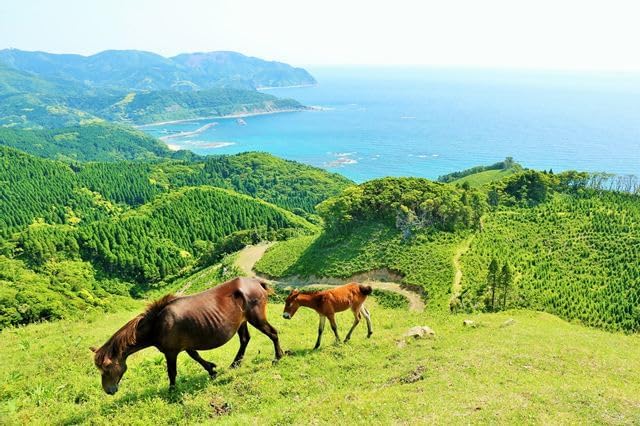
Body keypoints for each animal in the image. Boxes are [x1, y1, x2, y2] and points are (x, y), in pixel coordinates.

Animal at [91, 277, 283, 395]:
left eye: (106, 368)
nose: (108, 390)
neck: (158, 323)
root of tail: (256, 282)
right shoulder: (186, 345)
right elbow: (196, 356)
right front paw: (212, 370)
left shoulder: (170, 352)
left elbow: (172, 372)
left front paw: (172, 391)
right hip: (242, 321)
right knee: (244, 340)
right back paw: (235, 364)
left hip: (256, 317)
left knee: (273, 333)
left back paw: (278, 357)